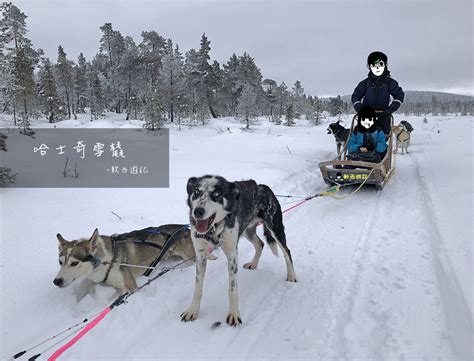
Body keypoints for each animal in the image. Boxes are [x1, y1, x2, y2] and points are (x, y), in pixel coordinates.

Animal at [53, 224, 196, 296]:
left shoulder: (132, 287)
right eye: (60, 262)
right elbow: (93, 288)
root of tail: (185, 228)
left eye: (74, 263)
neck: (107, 261)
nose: (56, 281)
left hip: (189, 258)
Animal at [181, 174, 296, 326]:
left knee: (287, 251)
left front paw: (234, 314)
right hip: (247, 231)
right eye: (196, 191)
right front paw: (192, 310)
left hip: (275, 229)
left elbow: (232, 290)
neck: (213, 230)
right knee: (260, 244)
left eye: (216, 194)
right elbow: (197, 289)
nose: (198, 211)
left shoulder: (232, 254)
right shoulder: (201, 256)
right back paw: (253, 263)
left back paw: (291, 275)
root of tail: (262, 186)